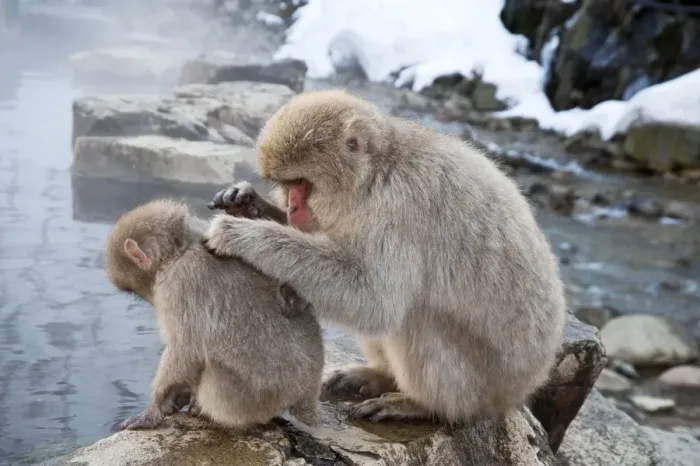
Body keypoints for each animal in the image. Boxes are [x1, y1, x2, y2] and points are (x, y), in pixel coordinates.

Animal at [104, 199, 324, 430]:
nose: (150, 299)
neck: (182, 248)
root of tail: (307, 393)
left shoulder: (180, 282)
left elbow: (185, 350)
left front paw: (154, 409)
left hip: (246, 399)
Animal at [201, 89, 567, 424]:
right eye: (287, 184)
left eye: (302, 183)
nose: (292, 207)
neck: (377, 172)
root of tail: (525, 386)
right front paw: (246, 203)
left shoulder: (397, 207)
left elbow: (374, 300)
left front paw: (242, 235)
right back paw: (380, 375)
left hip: (479, 387)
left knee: (415, 316)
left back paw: (423, 405)